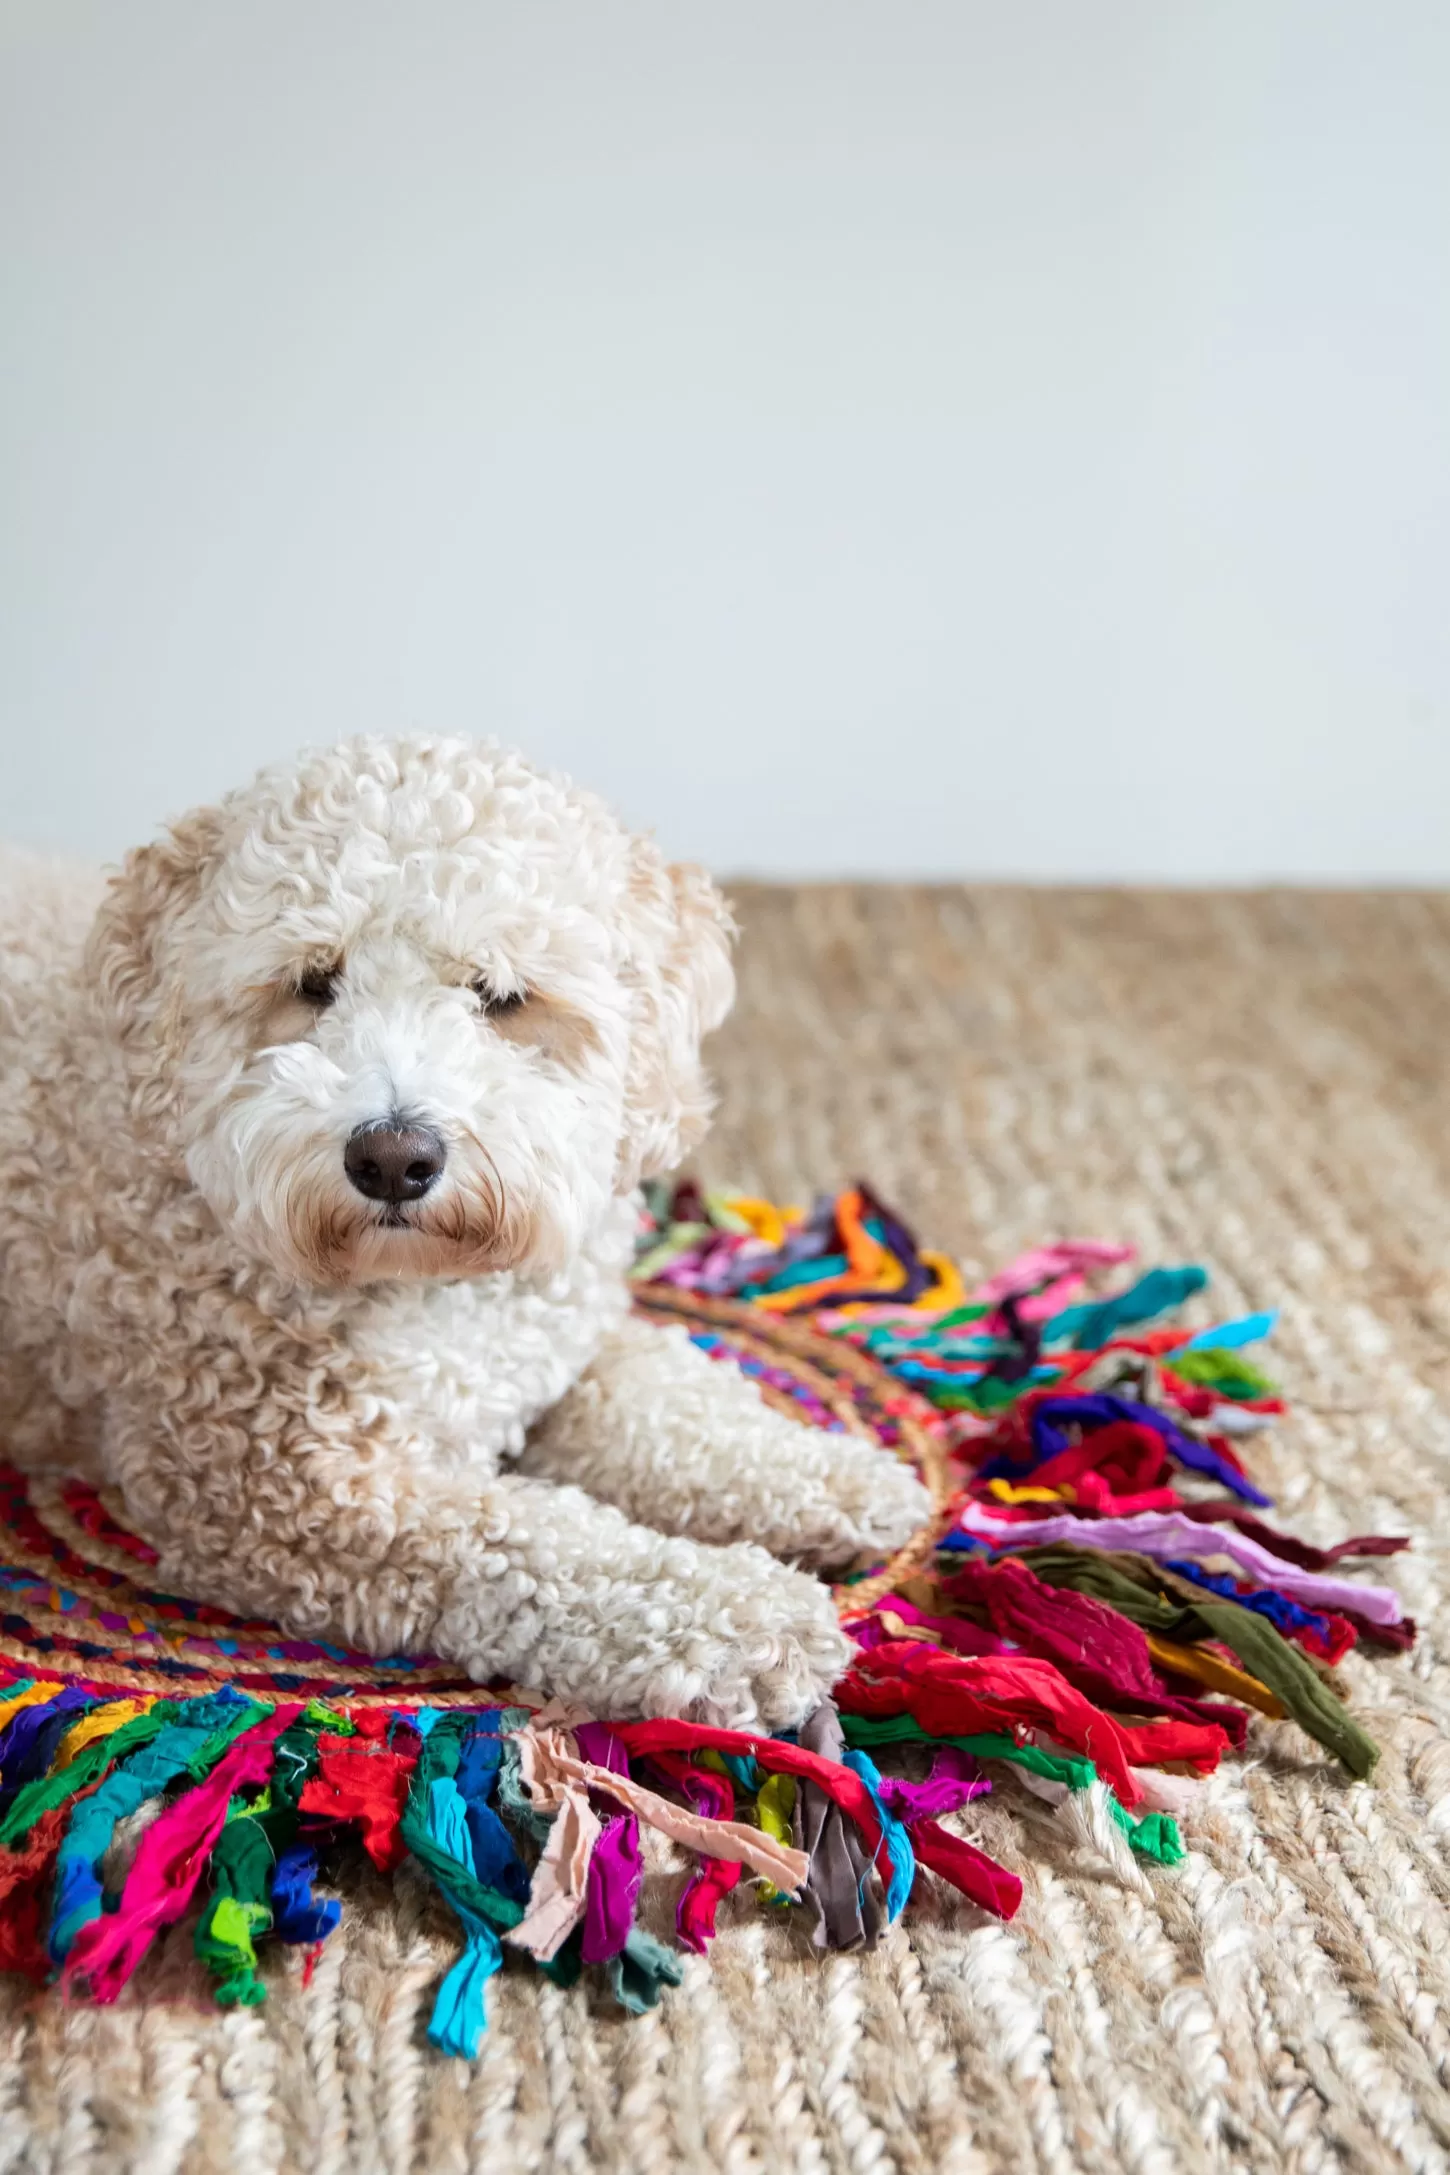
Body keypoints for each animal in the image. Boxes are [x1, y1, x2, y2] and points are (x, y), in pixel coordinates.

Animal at [0, 739, 930, 1722]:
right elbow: (536, 1541)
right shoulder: (299, 1494)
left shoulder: (565, 1345)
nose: (392, 1157)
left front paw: (836, 1475)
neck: (434, 1290)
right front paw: (742, 1616)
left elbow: (674, 1402)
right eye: (312, 984)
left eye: (502, 995)